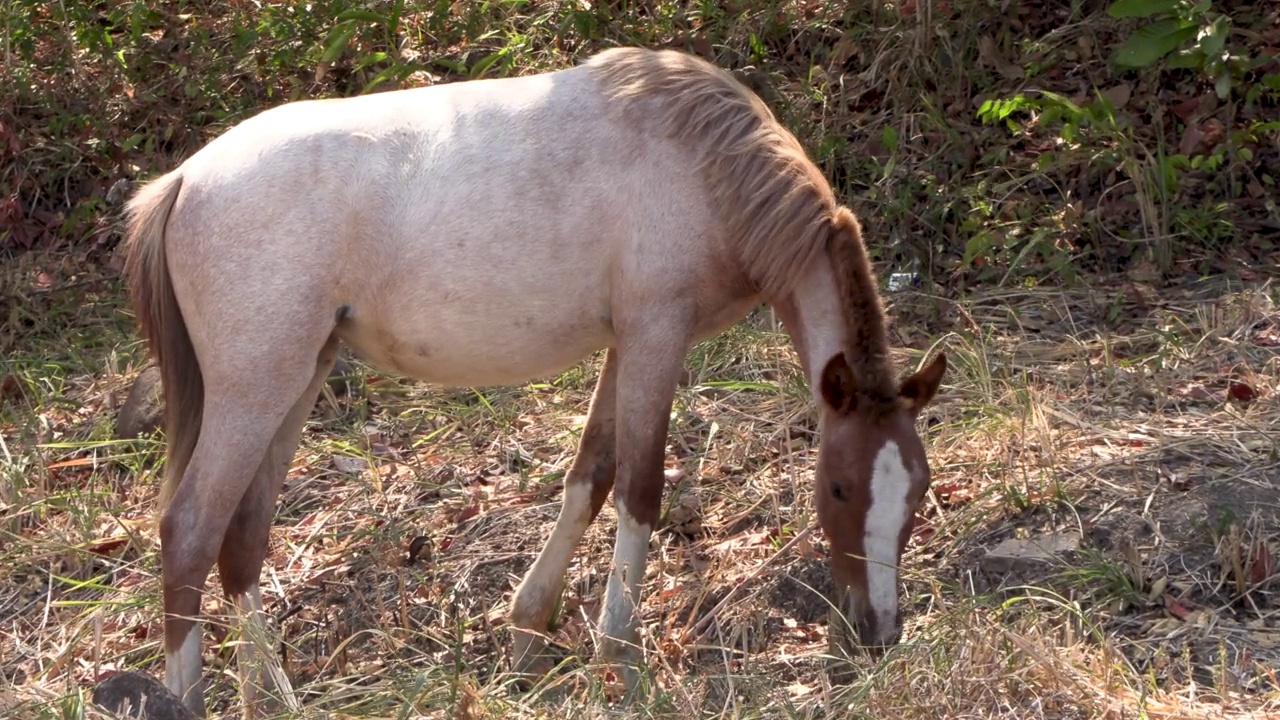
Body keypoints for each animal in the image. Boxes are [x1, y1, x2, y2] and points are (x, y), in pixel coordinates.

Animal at [124, 44, 947, 712]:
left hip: (297, 382)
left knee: (242, 537)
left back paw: (274, 698)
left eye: (919, 490)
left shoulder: (627, 345)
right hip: (255, 393)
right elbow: (640, 487)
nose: (879, 628)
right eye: (838, 487)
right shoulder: (656, 336)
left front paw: (529, 629)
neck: (704, 162)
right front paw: (619, 656)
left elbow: (592, 476)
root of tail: (186, 179)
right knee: (191, 531)